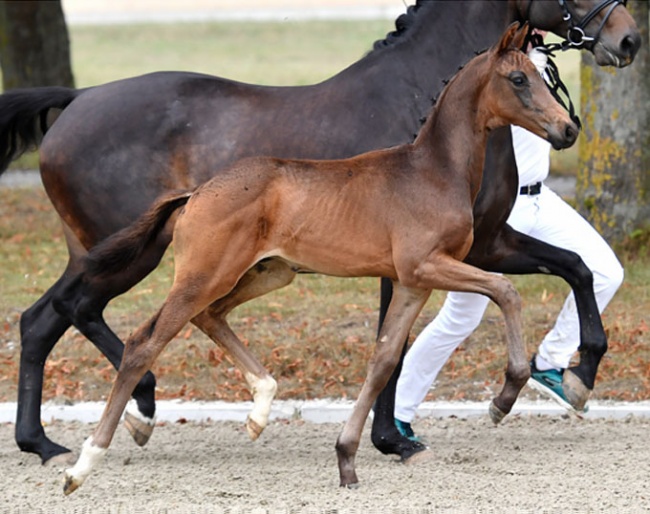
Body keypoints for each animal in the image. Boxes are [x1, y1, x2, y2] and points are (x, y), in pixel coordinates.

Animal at [62, 25, 576, 492]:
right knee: (143, 343)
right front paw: (504, 397)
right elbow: (505, 290)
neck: (433, 171)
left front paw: (346, 459)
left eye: (543, 74)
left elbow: (384, 359)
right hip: (206, 276)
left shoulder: (412, 282)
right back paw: (82, 465)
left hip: (268, 274)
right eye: (518, 79)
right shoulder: (426, 265)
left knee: (210, 316)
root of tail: (196, 194)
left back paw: (260, 408)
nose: (568, 129)